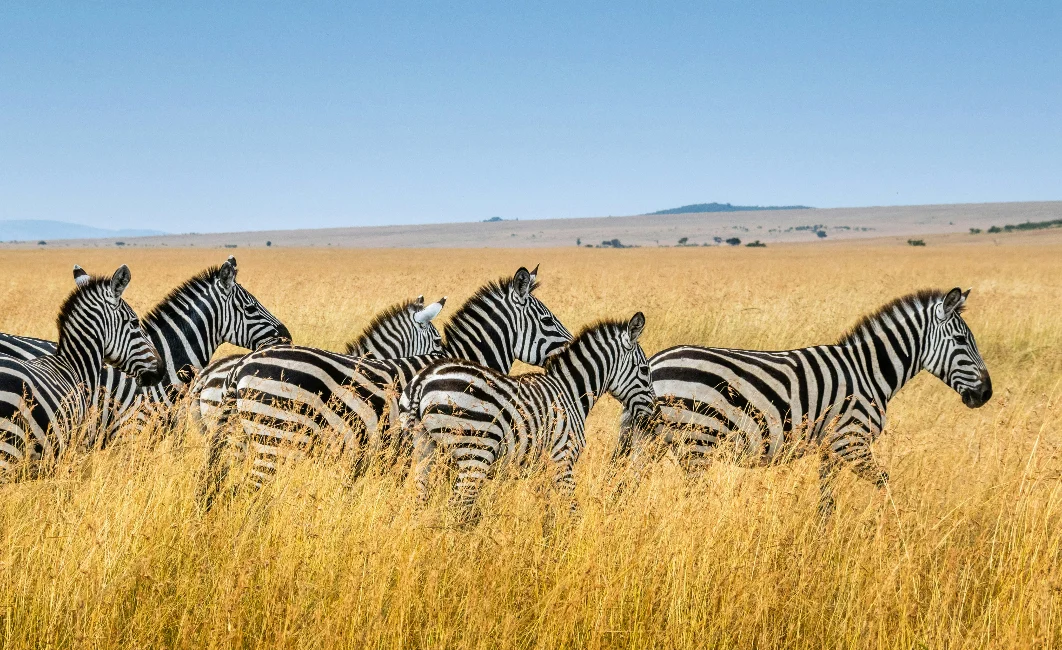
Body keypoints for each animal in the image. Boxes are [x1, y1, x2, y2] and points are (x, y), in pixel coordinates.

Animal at [405, 313, 654, 520]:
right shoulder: (562, 459)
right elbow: (572, 510)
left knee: (420, 502)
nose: (654, 414)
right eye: (644, 370)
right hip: (475, 452)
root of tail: (423, 379)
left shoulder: (541, 467)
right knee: (457, 506)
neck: (571, 392)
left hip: (425, 449)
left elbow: (548, 511)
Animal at [618, 287, 993, 517]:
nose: (986, 394)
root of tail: (654, 363)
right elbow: (885, 483)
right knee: (689, 498)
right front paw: (895, 530)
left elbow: (827, 502)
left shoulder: (831, 448)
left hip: (651, 442)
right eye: (962, 340)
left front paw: (822, 542)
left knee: (625, 488)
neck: (869, 371)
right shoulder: (851, 441)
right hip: (697, 442)